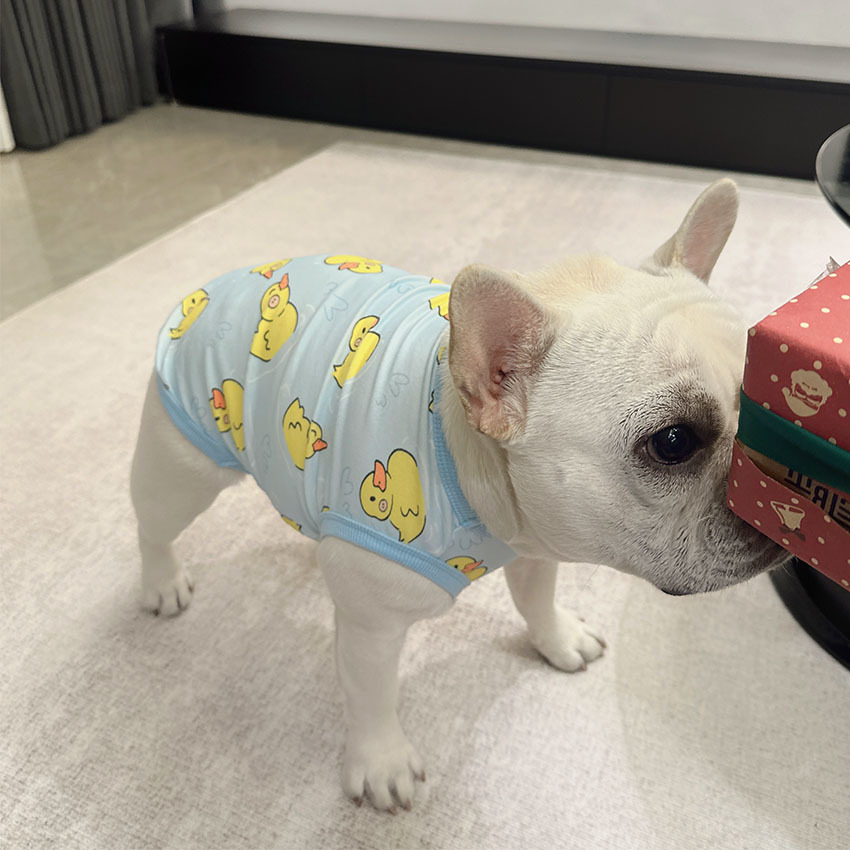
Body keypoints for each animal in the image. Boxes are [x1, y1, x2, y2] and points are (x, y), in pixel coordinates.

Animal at [131, 178, 788, 812]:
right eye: (673, 442)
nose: (768, 479)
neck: (459, 459)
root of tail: (224, 283)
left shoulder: (538, 542)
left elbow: (535, 600)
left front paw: (557, 639)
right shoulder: (373, 628)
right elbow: (371, 692)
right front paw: (382, 762)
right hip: (184, 466)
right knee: (154, 521)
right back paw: (162, 581)